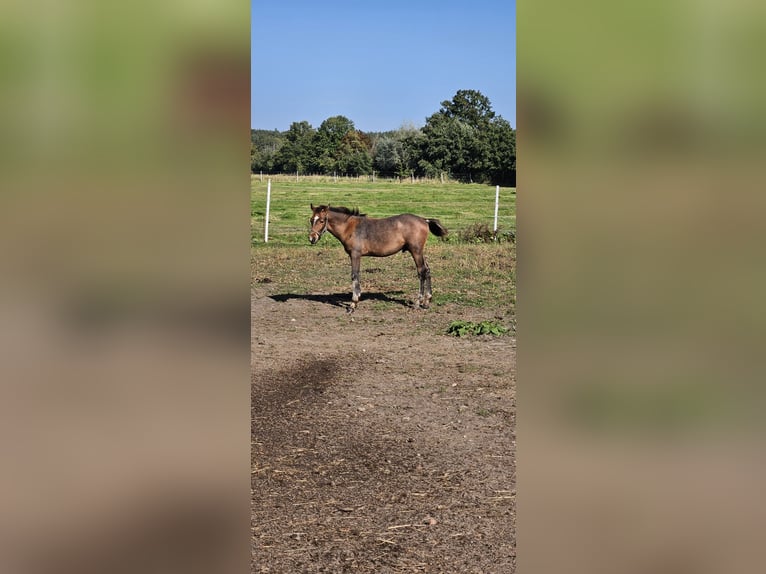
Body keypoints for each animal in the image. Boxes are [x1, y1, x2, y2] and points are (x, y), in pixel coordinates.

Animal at [309, 204, 448, 312]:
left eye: (321, 221)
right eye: (311, 220)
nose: (312, 238)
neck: (349, 227)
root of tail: (424, 220)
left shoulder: (355, 254)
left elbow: (354, 275)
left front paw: (353, 304)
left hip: (416, 251)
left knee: (421, 271)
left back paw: (418, 302)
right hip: (419, 252)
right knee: (427, 270)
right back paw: (427, 301)